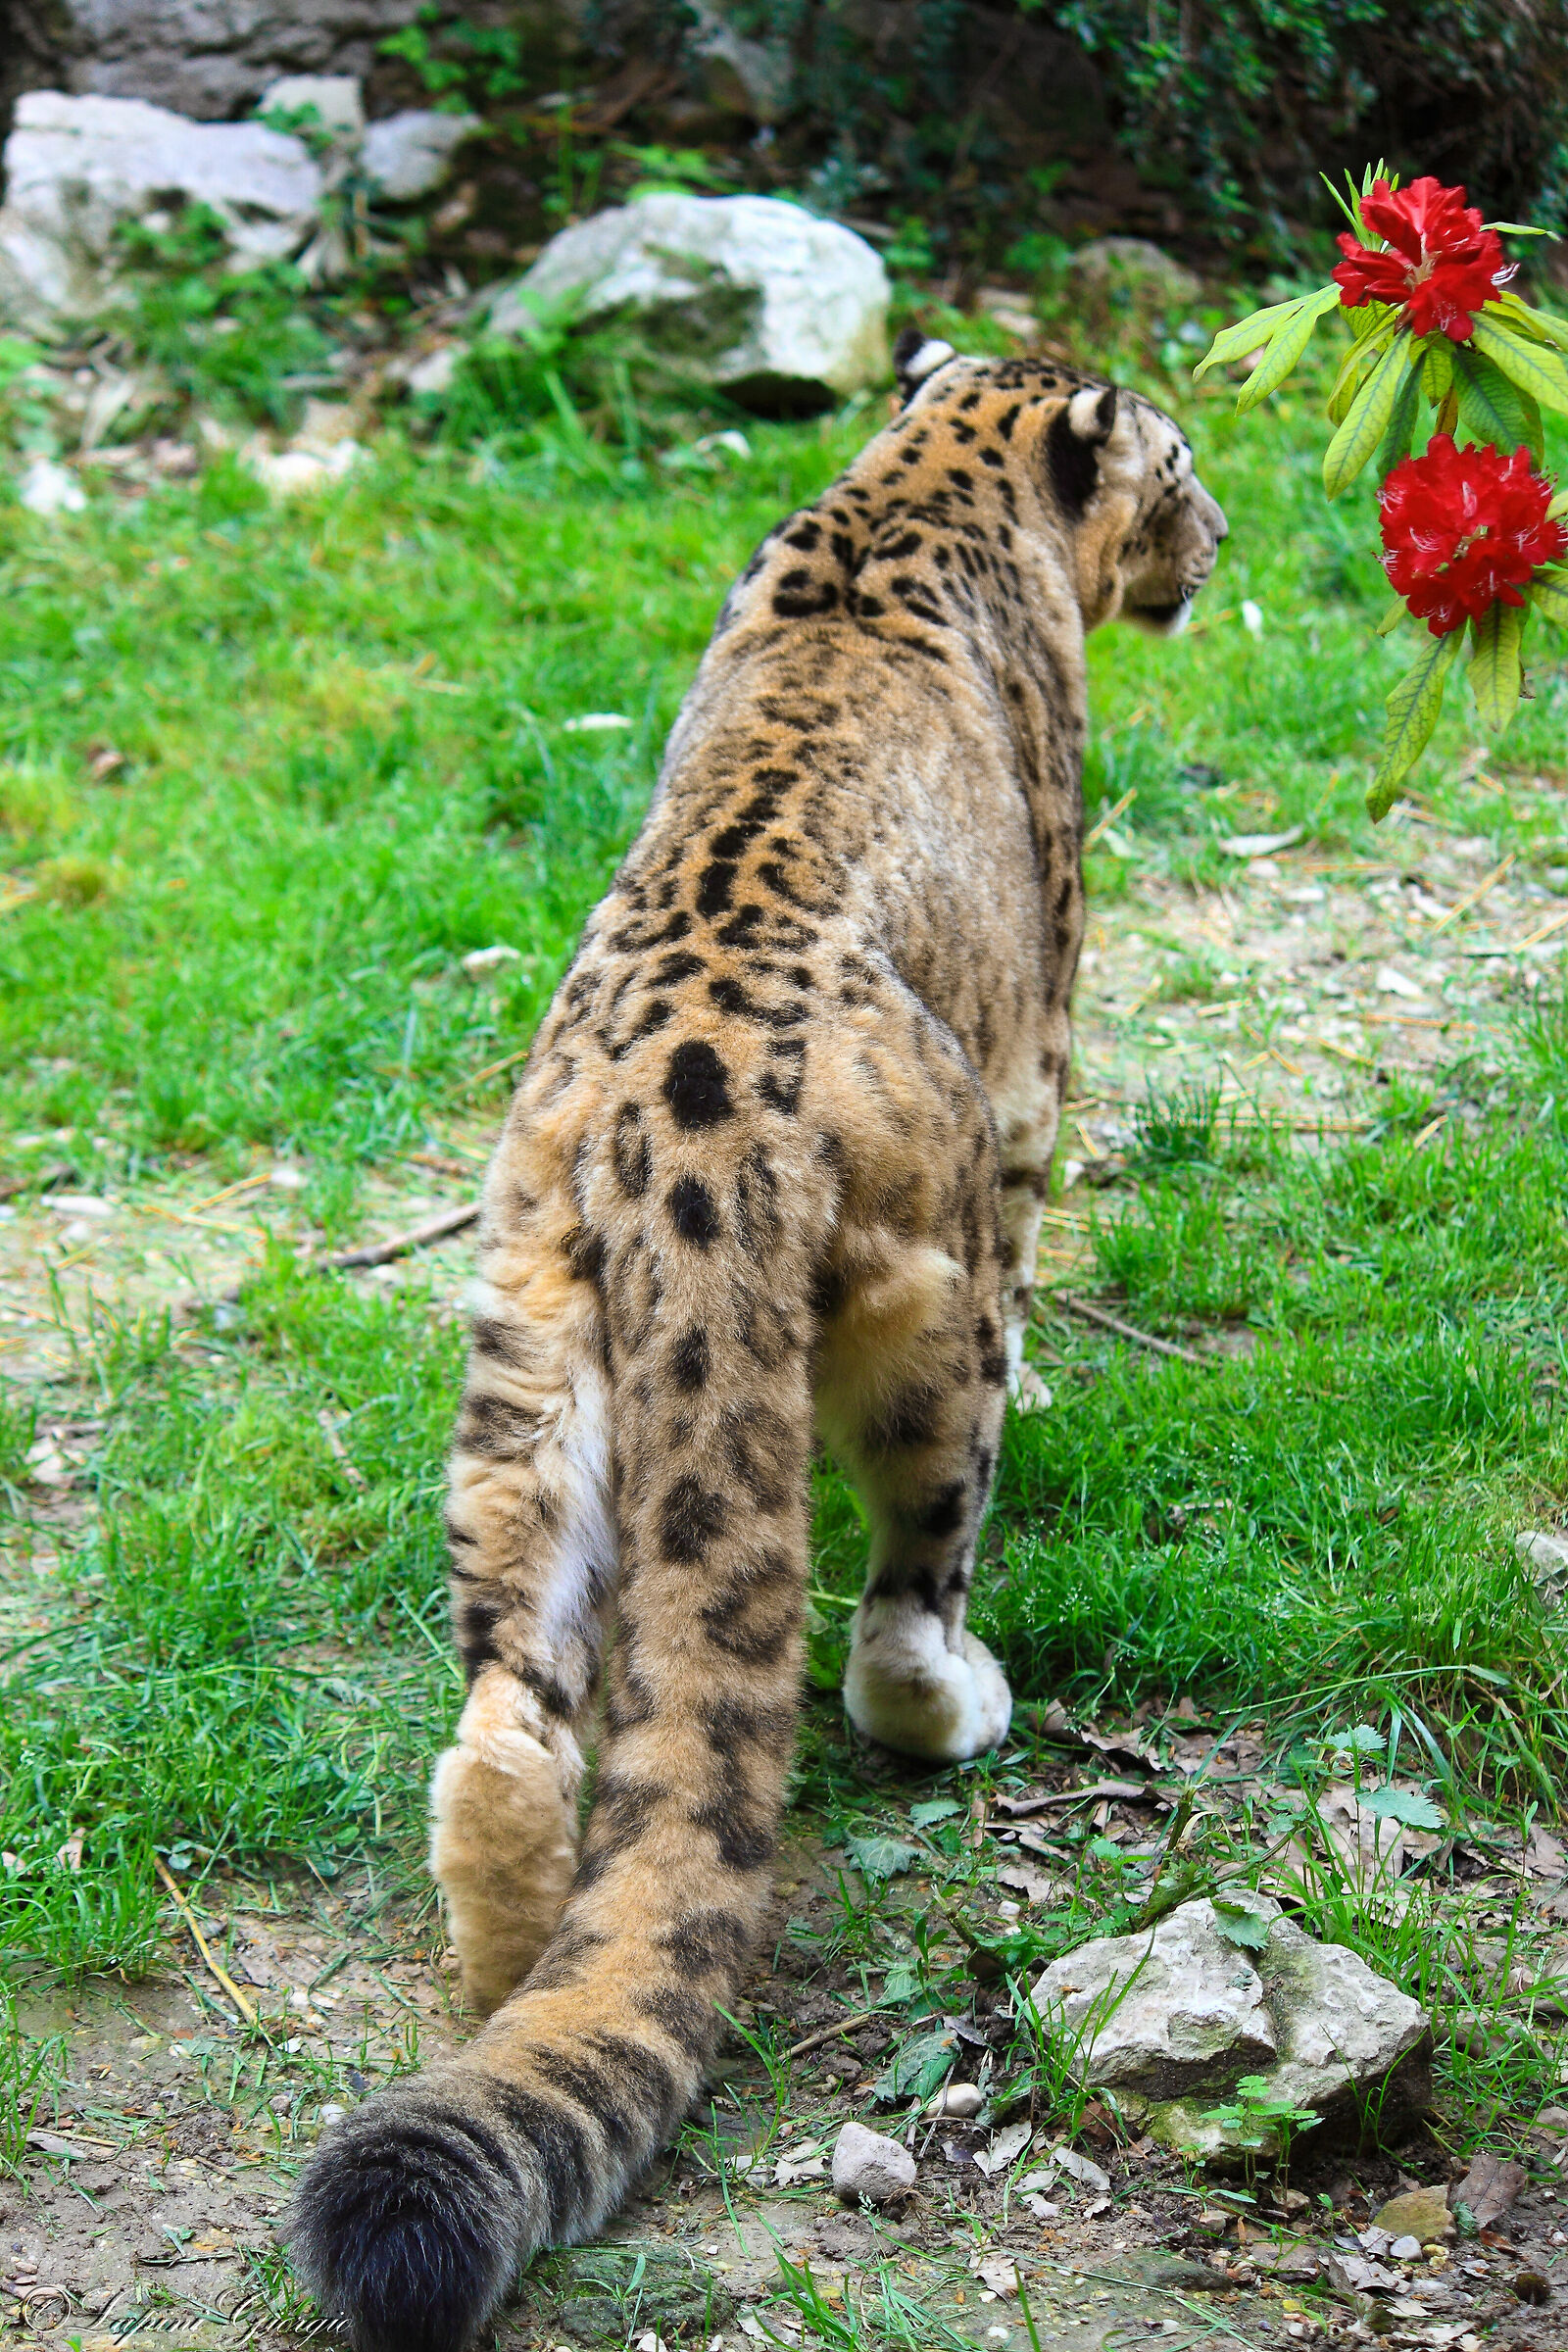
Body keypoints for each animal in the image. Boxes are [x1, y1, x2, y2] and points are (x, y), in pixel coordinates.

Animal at [292, 331, 1228, 2352]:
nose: (1213, 539)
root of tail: (684, 1126)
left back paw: (511, 1961)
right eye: (1180, 463)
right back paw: (956, 1698)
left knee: (509, 1719)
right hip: (920, 1310)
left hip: (522, 1375)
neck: (924, 482)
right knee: (898, 1585)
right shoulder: (1043, 1045)